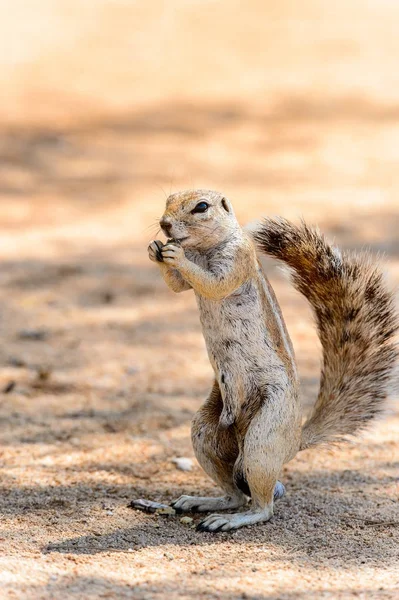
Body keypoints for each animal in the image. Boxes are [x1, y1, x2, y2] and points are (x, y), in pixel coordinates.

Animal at [148, 190, 398, 532]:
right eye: (168, 200)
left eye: (201, 207)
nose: (164, 224)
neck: (201, 248)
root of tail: (294, 441)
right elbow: (178, 286)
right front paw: (154, 250)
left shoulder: (238, 260)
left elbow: (215, 283)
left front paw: (175, 255)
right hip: (206, 432)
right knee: (234, 494)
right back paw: (204, 502)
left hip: (265, 435)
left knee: (261, 506)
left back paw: (233, 519)